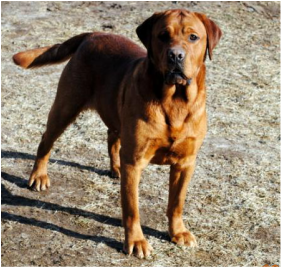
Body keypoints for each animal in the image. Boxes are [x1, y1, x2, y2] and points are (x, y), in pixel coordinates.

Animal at [13, 9, 223, 258]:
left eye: (193, 37)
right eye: (163, 35)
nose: (175, 56)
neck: (175, 101)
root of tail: (93, 34)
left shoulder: (185, 162)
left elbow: (176, 202)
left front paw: (178, 232)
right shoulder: (134, 160)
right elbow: (132, 208)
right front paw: (136, 241)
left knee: (112, 136)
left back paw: (115, 168)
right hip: (66, 107)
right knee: (46, 140)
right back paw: (38, 176)